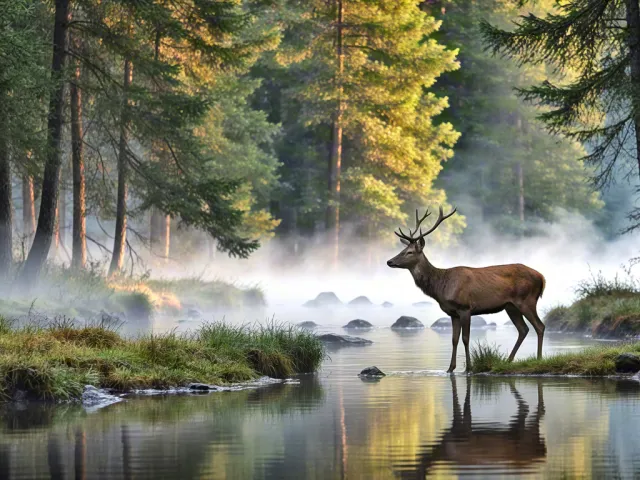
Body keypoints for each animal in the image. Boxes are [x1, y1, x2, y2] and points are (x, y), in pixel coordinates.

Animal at [387, 206, 546, 373]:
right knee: (523, 329)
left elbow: (466, 338)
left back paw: (539, 359)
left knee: (539, 326)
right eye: (402, 250)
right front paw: (450, 368)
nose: (389, 261)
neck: (441, 286)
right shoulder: (453, 313)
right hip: (511, 306)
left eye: (409, 252)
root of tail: (542, 277)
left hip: (526, 300)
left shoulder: (465, 307)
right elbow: (454, 339)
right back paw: (508, 361)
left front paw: (469, 368)